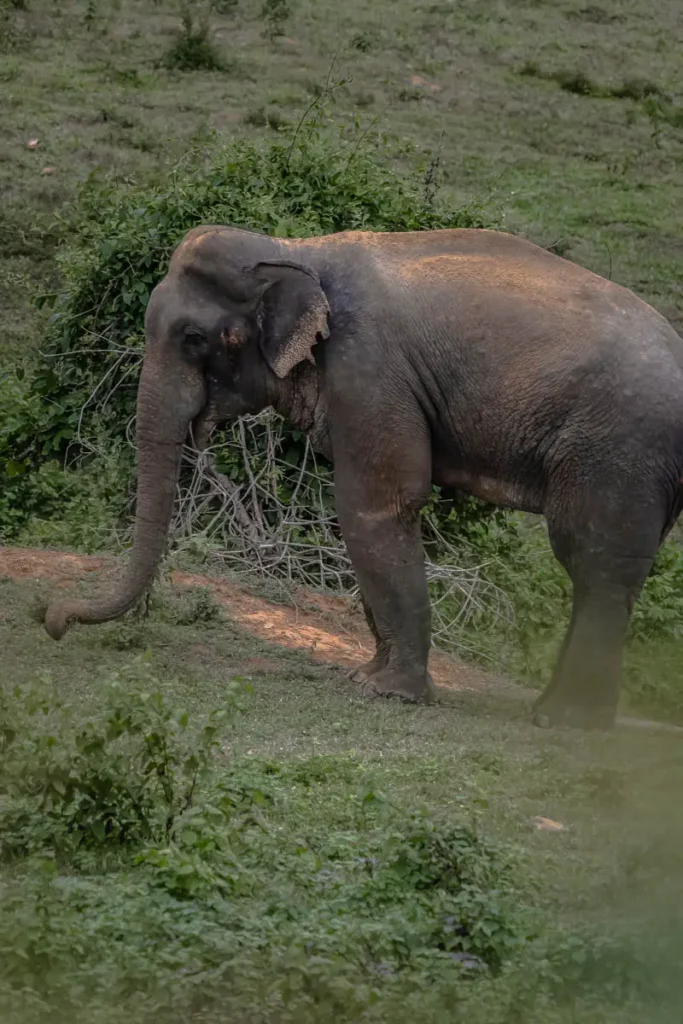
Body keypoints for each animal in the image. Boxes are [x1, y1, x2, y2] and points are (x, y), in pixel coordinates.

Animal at [43, 225, 683, 729]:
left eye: (194, 338)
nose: (53, 620)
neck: (294, 251)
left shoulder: (367, 370)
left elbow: (377, 503)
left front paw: (388, 692)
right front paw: (366, 675)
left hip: (617, 447)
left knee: (593, 559)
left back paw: (565, 720)